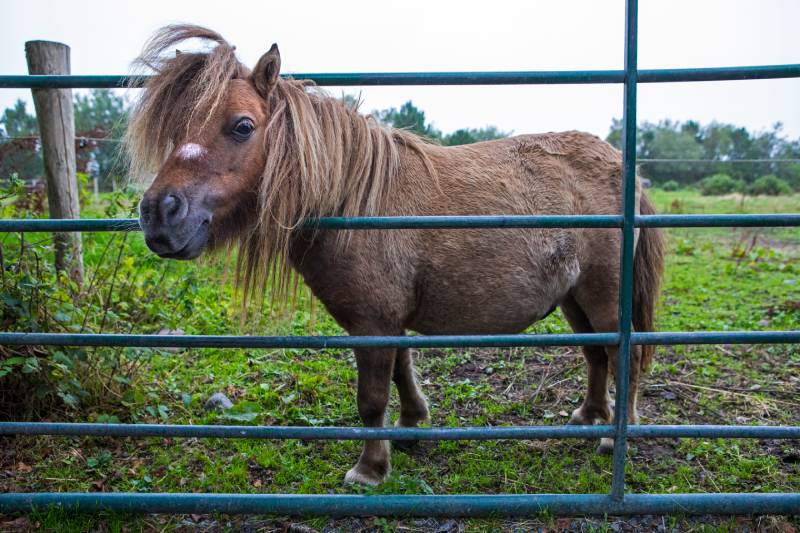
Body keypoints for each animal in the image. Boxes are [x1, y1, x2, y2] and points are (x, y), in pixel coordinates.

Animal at [129, 25, 666, 486]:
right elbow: (403, 370)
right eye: (175, 129)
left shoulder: (372, 323)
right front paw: (410, 426)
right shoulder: (389, 319)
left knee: (624, 354)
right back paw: (589, 417)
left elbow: (371, 398)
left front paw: (369, 468)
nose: (159, 214)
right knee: (597, 354)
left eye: (242, 126)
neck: (351, 202)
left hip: (603, 295)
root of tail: (623, 165)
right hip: (575, 298)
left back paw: (616, 437)